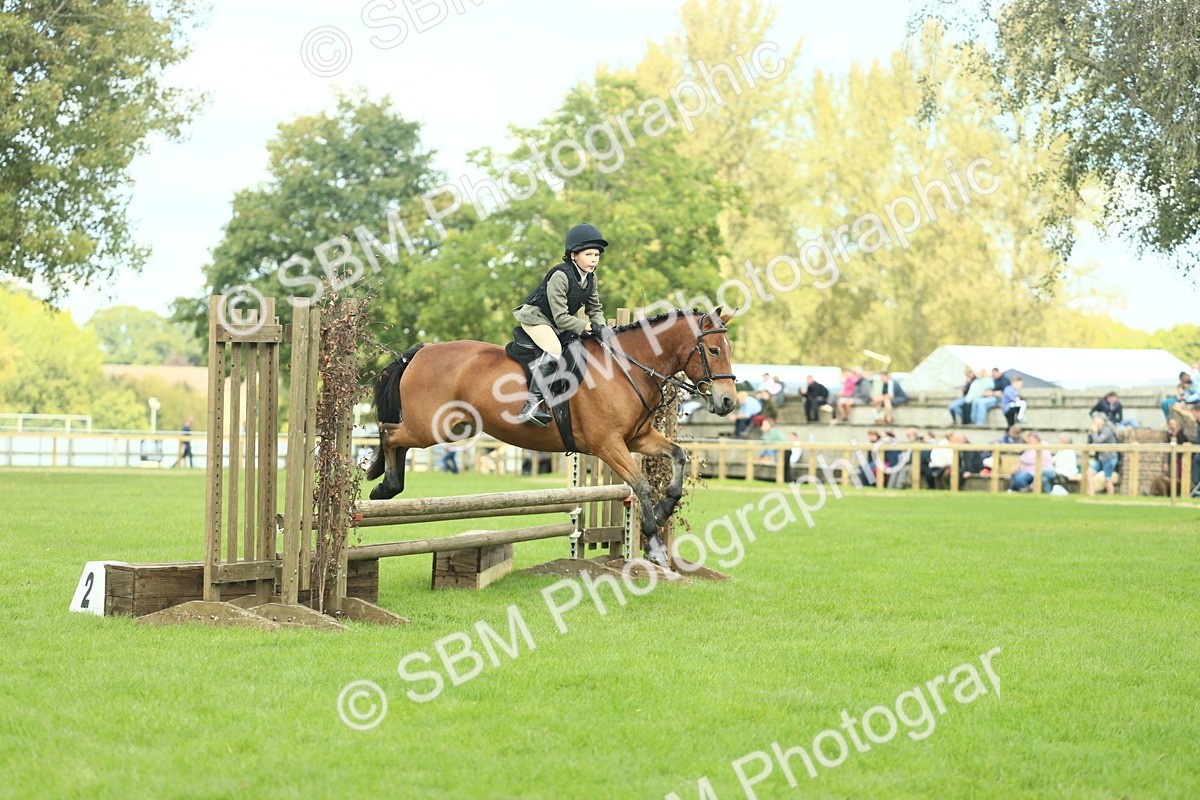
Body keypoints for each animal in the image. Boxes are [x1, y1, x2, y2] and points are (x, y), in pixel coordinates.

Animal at [364, 308, 739, 566]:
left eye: (729, 348)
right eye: (714, 351)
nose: (728, 402)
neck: (626, 367)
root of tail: (422, 350)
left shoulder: (638, 438)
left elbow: (678, 456)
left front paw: (663, 511)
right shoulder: (608, 445)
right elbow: (640, 484)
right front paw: (656, 544)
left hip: (450, 426)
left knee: (397, 439)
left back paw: (386, 487)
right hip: (431, 426)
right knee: (388, 432)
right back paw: (385, 487)